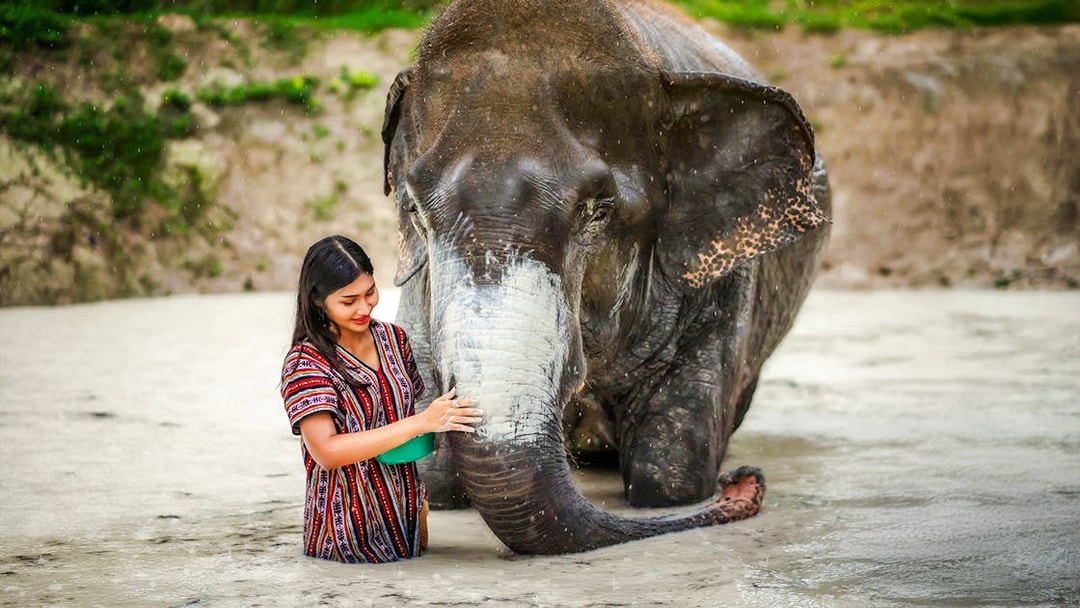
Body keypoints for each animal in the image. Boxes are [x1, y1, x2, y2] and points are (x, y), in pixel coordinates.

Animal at [380, 0, 831, 555]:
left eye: (596, 212)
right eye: (416, 212)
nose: (743, 481)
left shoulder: (724, 283)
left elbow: (669, 475)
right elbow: (434, 475)